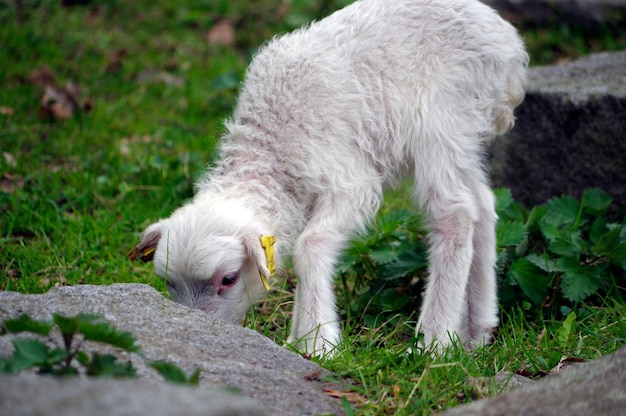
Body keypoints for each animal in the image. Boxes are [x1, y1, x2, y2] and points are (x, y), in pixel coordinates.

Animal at [128, 0, 528, 358]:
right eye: (168, 283)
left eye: (228, 279)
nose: (201, 330)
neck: (269, 150)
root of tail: (508, 46)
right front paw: (301, 338)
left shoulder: (350, 181)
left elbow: (309, 247)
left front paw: (319, 344)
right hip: (464, 131)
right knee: (482, 205)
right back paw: (477, 329)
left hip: (439, 117)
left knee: (454, 213)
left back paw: (433, 341)